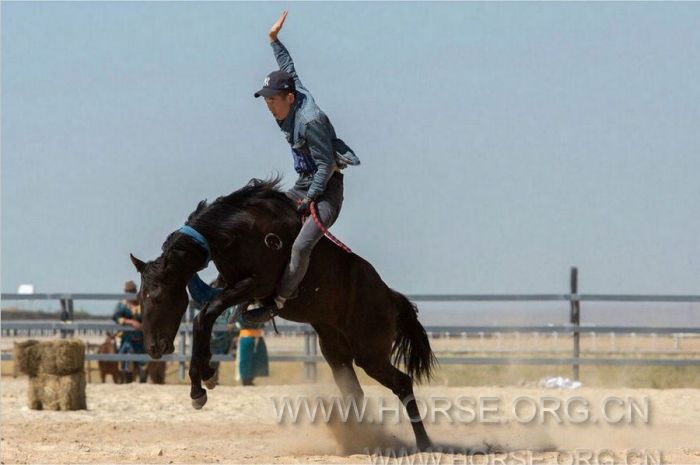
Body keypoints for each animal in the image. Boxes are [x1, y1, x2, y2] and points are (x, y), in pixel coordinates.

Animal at [131, 176, 434, 448]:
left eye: (157, 297)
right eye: (140, 298)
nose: (153, 347)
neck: (238, 230)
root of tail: (389, 297)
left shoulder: (256, 284)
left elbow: (205, 315)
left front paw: (198, 388)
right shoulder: (230, 284)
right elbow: (207, 318)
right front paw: (207, 374)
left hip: (370, 354)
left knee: (403, 383)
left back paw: (424, 443)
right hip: (337, 354)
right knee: (355, 392)